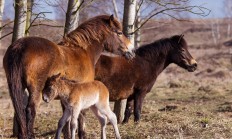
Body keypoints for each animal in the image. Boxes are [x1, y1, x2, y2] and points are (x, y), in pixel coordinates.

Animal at [2, 14, 134, 138]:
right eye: (119, 32)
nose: (132, 50)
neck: (84, 52)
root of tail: (19, 46)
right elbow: (80, 117)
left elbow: (65, 121)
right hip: (35, 91)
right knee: (30, 111)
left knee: (19, 111)